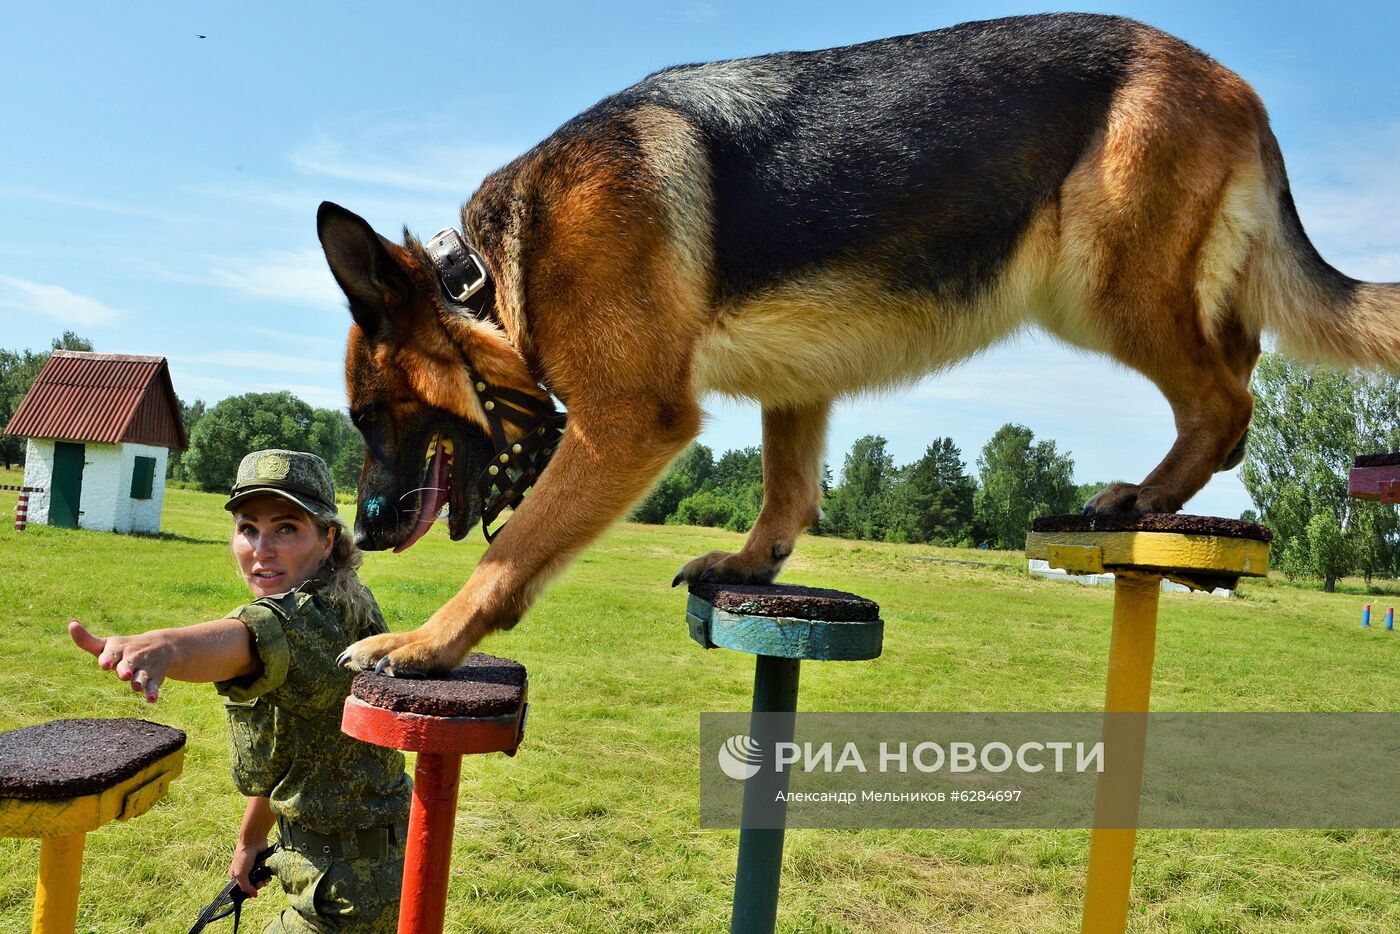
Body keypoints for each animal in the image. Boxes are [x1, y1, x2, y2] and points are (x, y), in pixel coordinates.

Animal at [320, 12, 1400, 672]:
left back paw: (1141, 498)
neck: (489, 280)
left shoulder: (627, 423)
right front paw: (751, 561)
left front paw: (424, 644)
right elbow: (789, 492)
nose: (357, 534)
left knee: (1225, 402)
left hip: (1102, 283)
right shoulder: (795, 385)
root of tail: (1235, 84)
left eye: (370, 416)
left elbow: (510, 559)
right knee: (1239, 360)